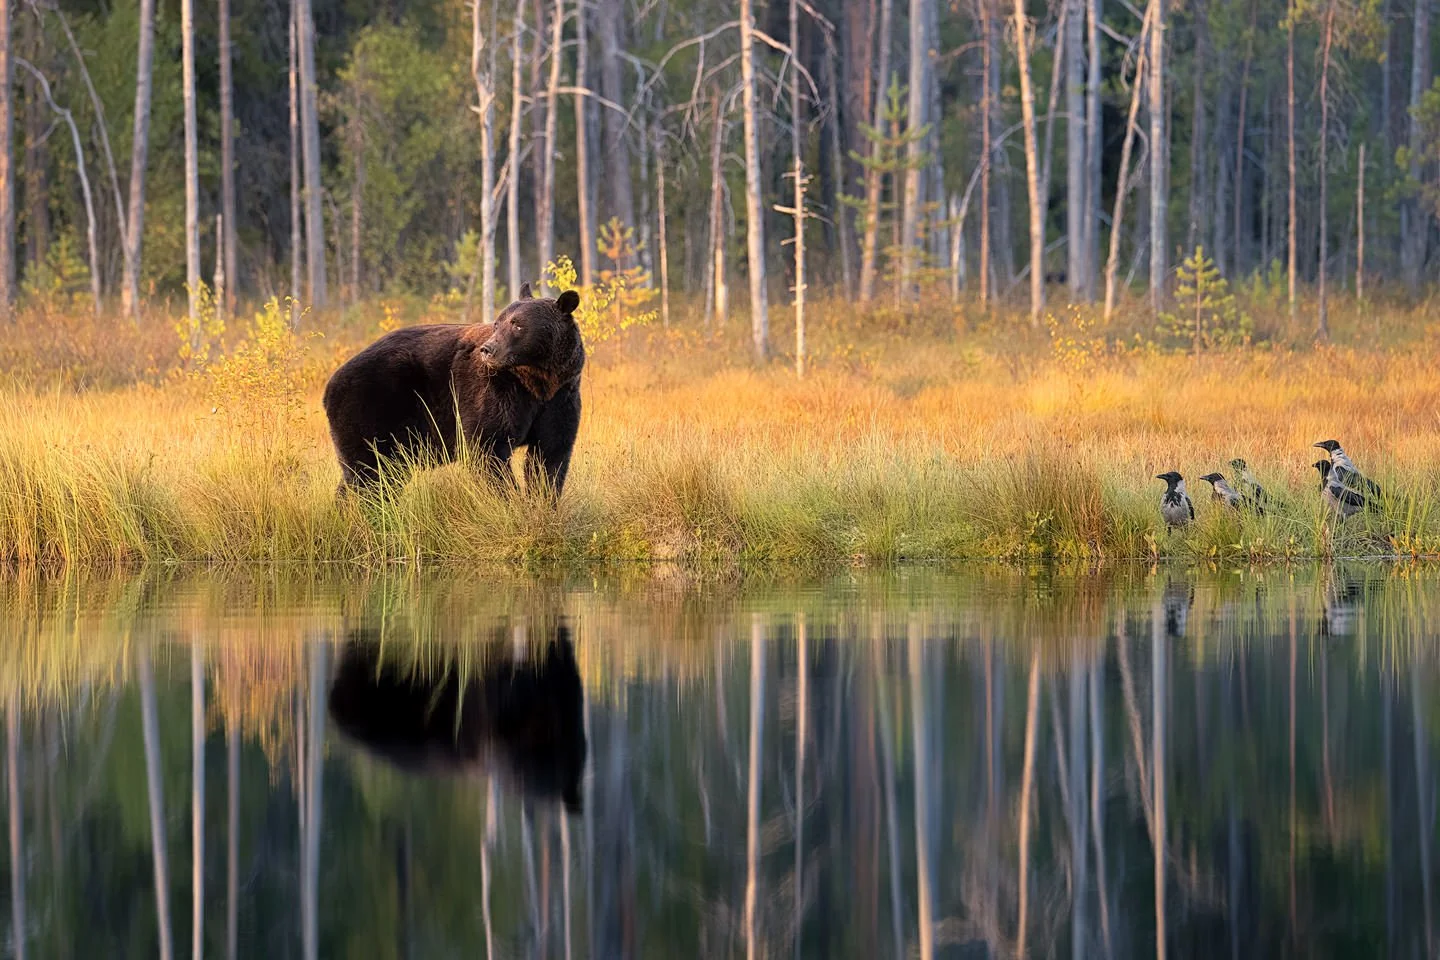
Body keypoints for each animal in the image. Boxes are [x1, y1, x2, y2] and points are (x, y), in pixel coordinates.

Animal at [322, 284, 585, 494]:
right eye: (497, 324)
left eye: (517, 325)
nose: (488, 349)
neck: (537, 381)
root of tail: (330, 384)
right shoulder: (494, 393)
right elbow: (488, 446)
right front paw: (509, 501)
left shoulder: (560, 397)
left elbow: (550, 456)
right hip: (373, 407)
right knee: (371, 471)